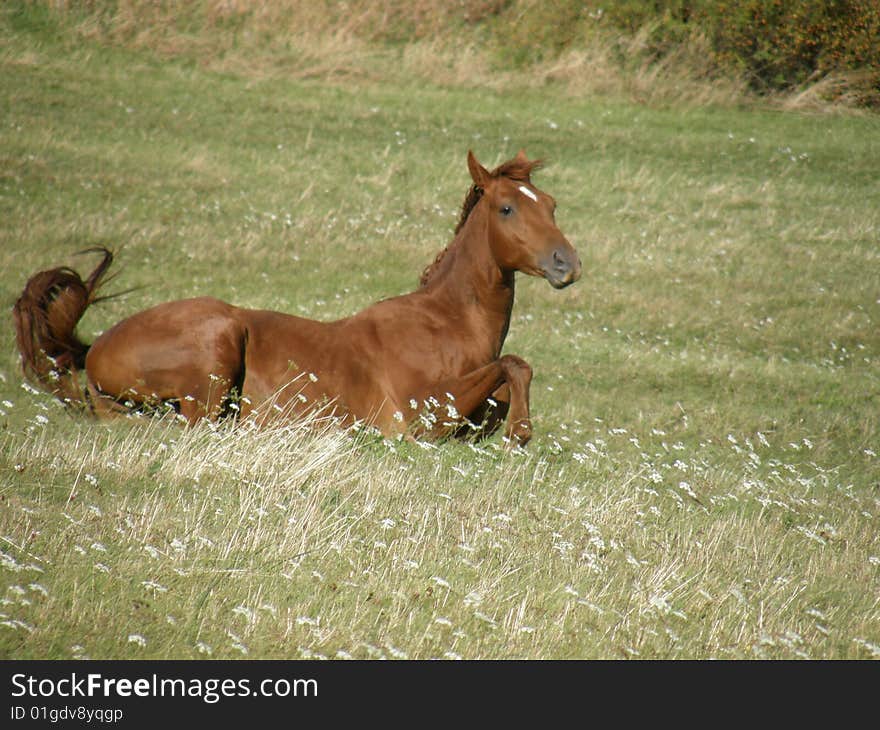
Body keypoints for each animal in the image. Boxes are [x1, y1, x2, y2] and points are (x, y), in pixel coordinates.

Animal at [13, 150, 580, 440]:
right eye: (507, 208)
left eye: (551, 204)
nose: (567, 264)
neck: (442, 324)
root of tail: (95, 349)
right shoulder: (419, 418)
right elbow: (514, 364)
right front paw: (522, 431)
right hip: (216, 348)